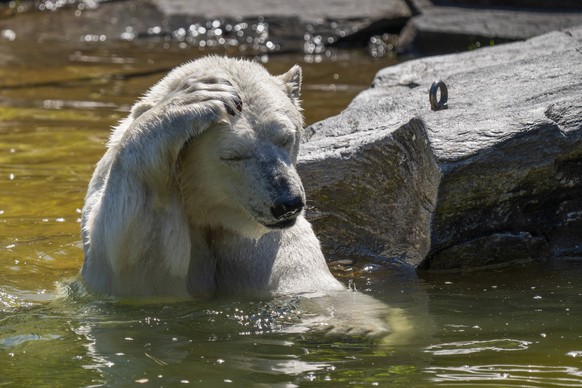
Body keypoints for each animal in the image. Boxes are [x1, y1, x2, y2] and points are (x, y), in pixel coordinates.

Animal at [81, 55, 346, 298]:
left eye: (286, 138)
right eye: (234, 156)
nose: (287, 205)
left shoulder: (263, 243)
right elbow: (139, 266)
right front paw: (193, 98)